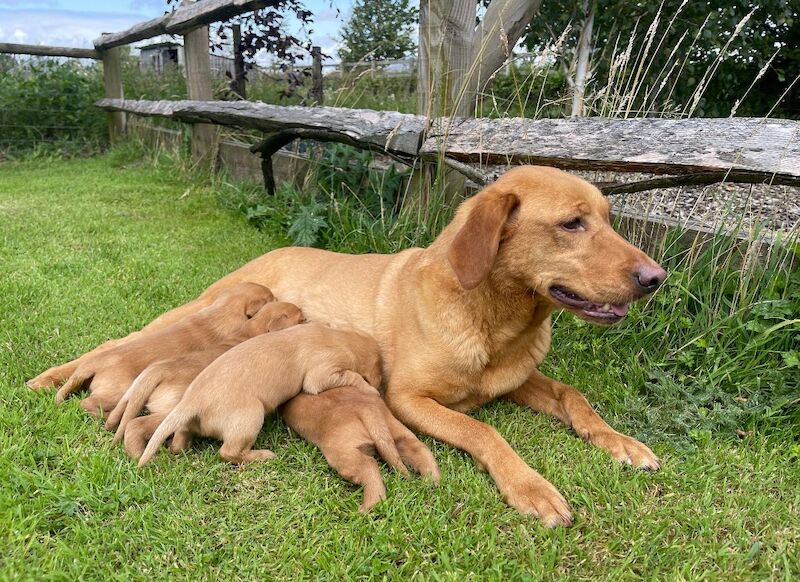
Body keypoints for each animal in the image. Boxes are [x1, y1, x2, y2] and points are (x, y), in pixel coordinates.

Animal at [107, 302, 306, 460]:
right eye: (302, 319)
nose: (309, 320)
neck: (253, 329)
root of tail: (157, 372)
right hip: (170, 411)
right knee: (136, 425)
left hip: (133, 395)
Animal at [138, 326, 382, 468]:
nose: (380, 383)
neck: (342, 337)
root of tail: (191, 402)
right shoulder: (321, 374)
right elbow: (351, 375)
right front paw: (370, 389)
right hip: (251, 416)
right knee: (227, 452)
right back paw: (264, 455)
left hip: (190, 424)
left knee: (179, 440)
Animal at [282, 388, 440, 516]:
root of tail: (367, 409)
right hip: (397, 432)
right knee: (419, 450)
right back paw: (432, 480)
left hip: (342, 451)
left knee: (369, 467)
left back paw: (366, 509)